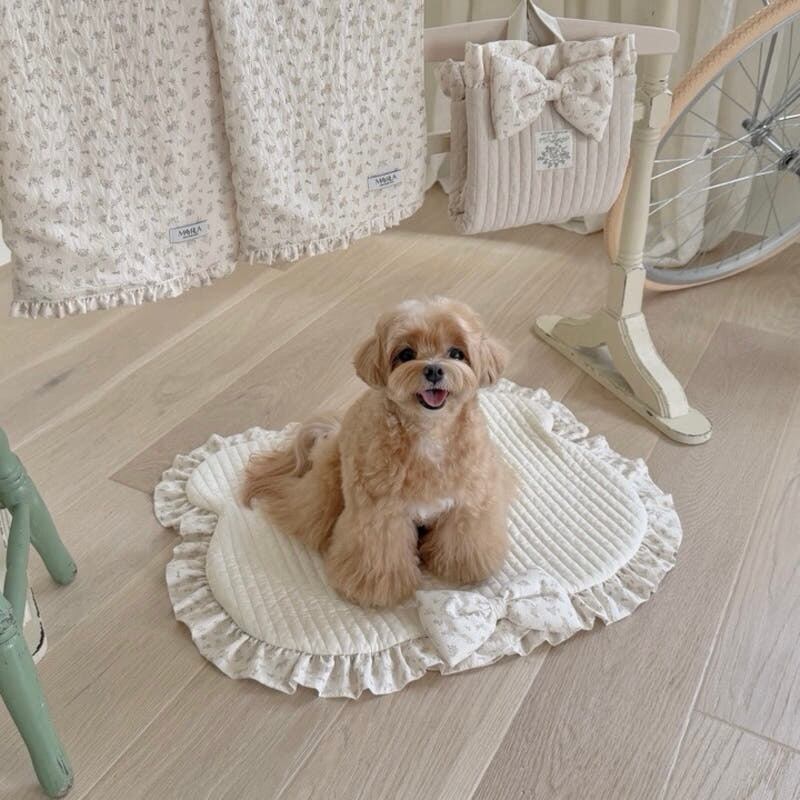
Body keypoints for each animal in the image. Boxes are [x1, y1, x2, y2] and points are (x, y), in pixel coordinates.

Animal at [243, 297, 516, 607]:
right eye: (406, 354)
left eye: (456, 353)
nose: (434, 369)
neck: (429, 434)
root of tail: (334, 431)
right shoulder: (380, 517)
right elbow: (380, 554)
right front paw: (378, 591)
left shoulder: (467, 506)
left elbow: (464, 541)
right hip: (330, 480)